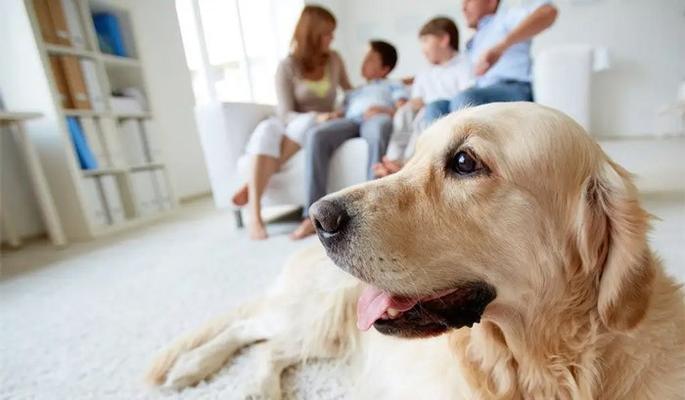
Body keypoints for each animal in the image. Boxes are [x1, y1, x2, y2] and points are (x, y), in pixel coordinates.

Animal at [146, 104, 684, 400]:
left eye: (464, 161)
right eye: (412, 157)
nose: (318, 217)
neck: (535, 364)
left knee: (269, 345)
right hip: (320, 313)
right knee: (251, 330)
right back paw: (199, 369)